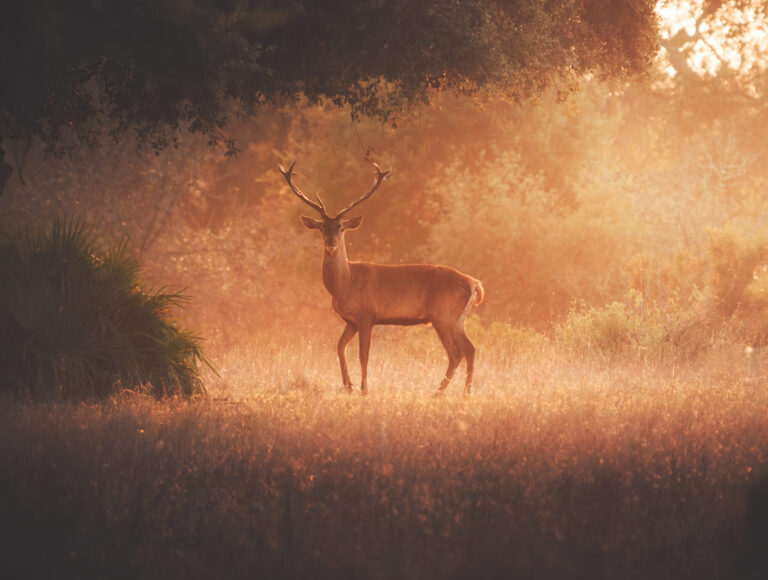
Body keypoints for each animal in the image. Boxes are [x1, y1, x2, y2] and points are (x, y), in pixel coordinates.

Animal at [279, 161, 484, 396]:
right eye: (322, 228)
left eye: (341, 228)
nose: (331, 243)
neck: (344, 285)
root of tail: (474, 283)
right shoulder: (351, 321)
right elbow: (339, 347)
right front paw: (348, 385)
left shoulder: (367, 314)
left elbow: (363, 354)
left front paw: (364, 389)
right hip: (457, 318)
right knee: (469, 349)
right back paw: (464, 393)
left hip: (444, 315)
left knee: (456, 352)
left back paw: (439, 392)